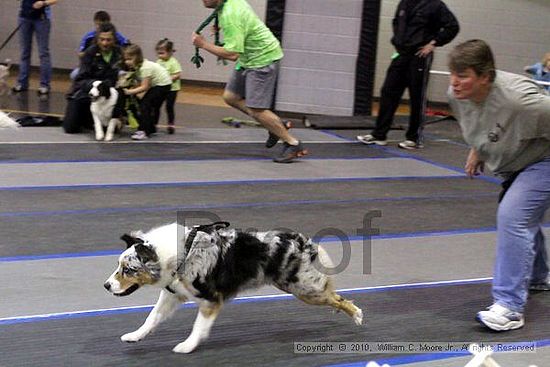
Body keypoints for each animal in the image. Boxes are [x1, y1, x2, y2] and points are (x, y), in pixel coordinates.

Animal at [105, 221, 364, 354]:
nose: (106, 285)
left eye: (128, 270)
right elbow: (151, 318)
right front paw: (134, 336)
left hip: (303, 288)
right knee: (333, 293)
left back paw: (357, 315)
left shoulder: (211, 299)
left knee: (337, 297)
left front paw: (187, 346)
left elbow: (198, 326)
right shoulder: (173, 295)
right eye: (119, 266)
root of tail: (301, 241)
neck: (179, 255)